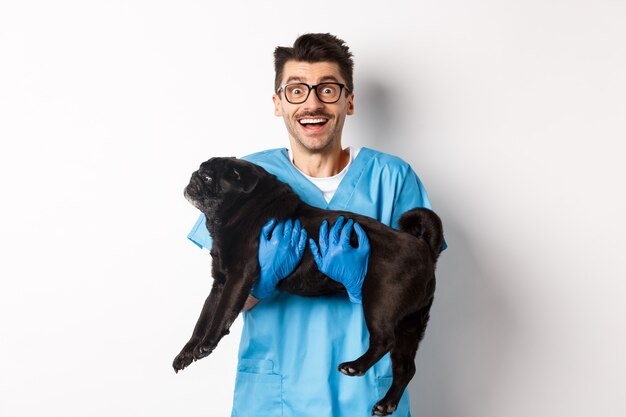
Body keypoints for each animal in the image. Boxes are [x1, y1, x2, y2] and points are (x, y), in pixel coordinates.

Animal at [173, 157, 442, 416]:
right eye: (200, 171)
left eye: (209, 177)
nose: (194, 176)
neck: (241, 210)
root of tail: (425, 248)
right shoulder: (219, 283)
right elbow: (203, 319)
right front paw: (187, 351)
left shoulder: (238, 278)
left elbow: (220, 314)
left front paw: (207, 343)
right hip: (410, 323)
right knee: (405, 367)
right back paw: (387, 403)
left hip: (379, 302)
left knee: (384, 341)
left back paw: (355, 367)